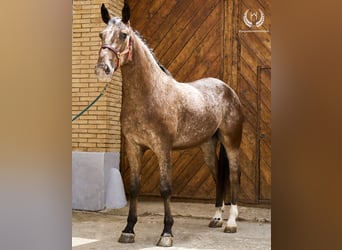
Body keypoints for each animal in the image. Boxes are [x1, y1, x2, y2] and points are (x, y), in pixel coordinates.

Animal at [94, 2, 243, 247]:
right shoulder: (134, 147)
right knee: (218, 177)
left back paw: (231, 223)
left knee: (234, 174)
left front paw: (166, 232)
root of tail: (227, 89)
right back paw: (216, 218)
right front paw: (129, 229)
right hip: (208, 146)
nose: (102, 69)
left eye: (124, 35)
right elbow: (133, 188)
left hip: (231, 143)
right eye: (101, 35)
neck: (150, 94)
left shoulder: (163, 148)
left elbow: (165, 188)